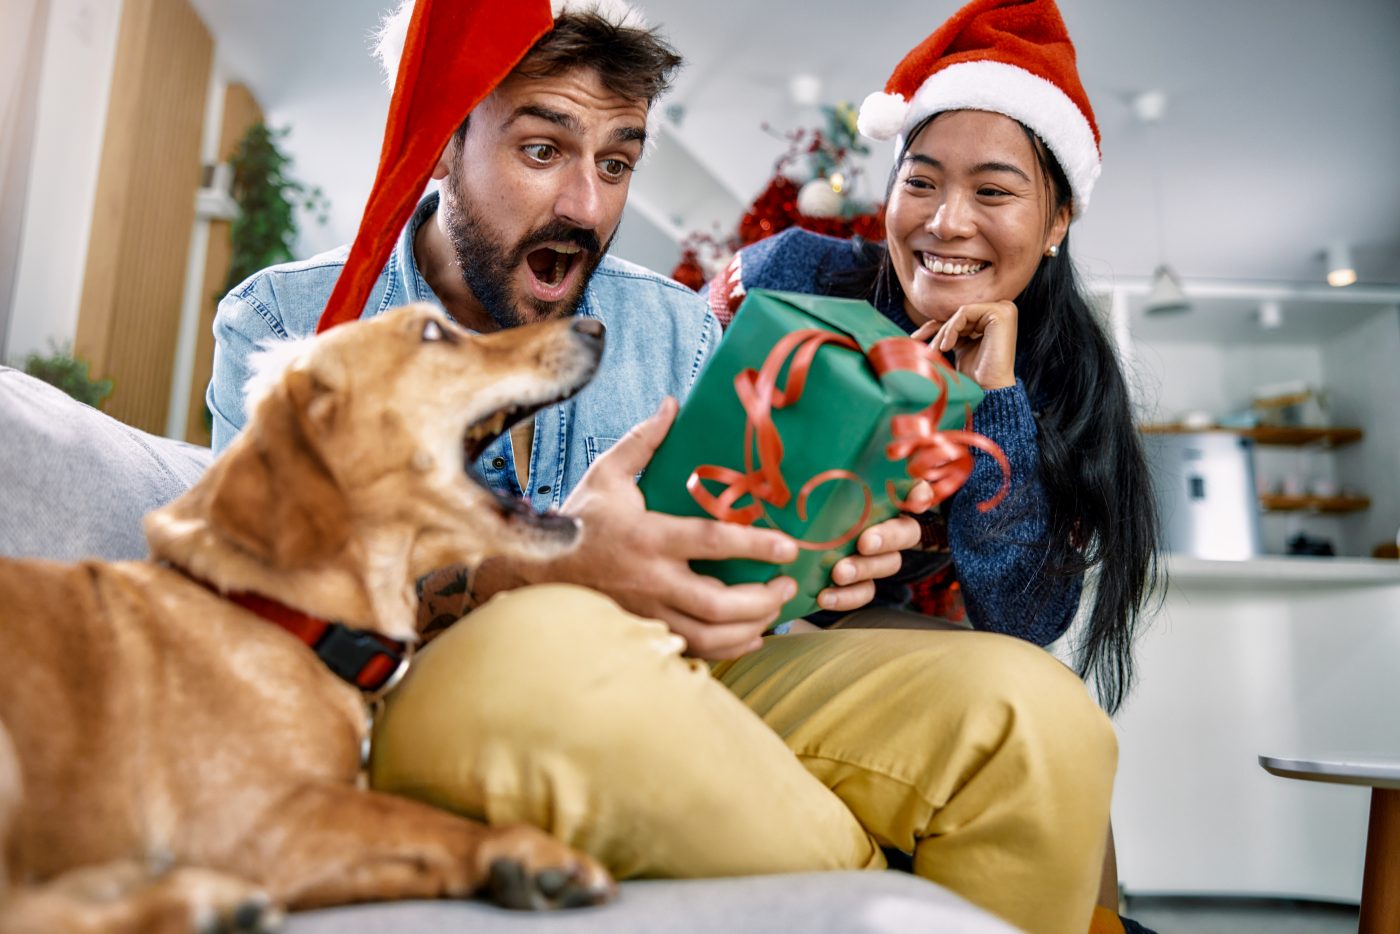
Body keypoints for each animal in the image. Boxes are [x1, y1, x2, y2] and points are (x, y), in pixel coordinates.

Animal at [0, 303, 613, 929]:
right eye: (433, 331)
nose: (596, 327)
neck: (290, 617)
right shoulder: (257, 822)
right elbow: (421, 816)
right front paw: (529, 849)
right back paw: (205, 900)